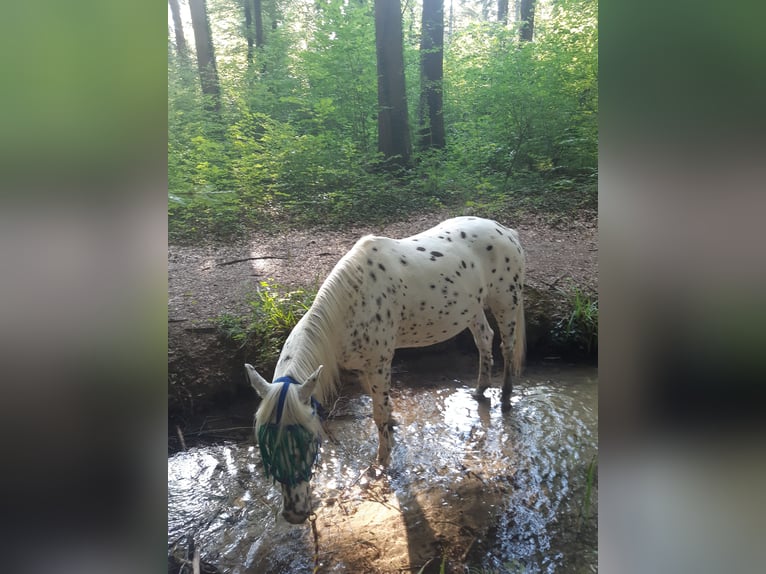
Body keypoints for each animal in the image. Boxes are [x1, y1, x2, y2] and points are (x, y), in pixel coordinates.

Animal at [245, 216, 526, 523]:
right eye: (266, 444)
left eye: (306, 440)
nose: (294, 513)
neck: (350, 306)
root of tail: (505, 231)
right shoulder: (364, 368)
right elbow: (379, 404)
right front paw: (392, 426)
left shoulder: (380, 363)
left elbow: (378, 413)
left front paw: (382, 462)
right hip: (472, 308)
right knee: (484, 339)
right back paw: (479, 390)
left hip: (505, 303)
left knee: (506, 347)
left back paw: (506, 397)